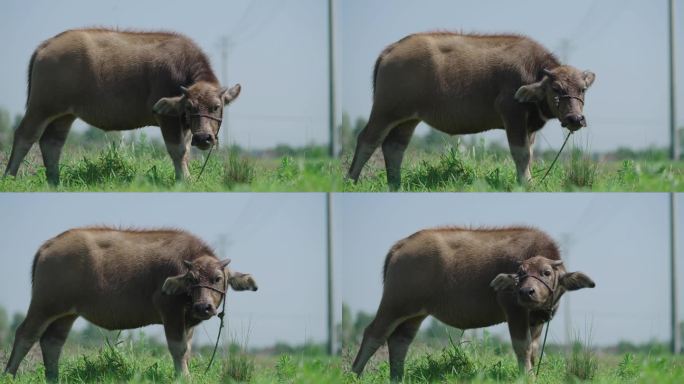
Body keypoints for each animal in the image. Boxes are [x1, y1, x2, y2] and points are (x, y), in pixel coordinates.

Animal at [2, 28, 242, 184]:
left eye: (216, 106)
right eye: (190, 107)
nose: (204, 139)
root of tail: (46, 46)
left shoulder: (184, 124)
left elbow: (186, 152)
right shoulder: (168, 119)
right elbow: (178, 150)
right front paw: (184, 180)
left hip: (63, 115)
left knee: (52, 143)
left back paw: (55, 181)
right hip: (41, 107)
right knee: (25, 135)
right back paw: (10, 177)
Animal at [2, 226, 258, 380]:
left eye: (217, 278)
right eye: (192, 279)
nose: (203, 307)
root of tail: (48, 245)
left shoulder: (187, 323)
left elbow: (187, 351)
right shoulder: (171, 314)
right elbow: (178, 349)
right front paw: (183, 378)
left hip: (66, 313)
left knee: (52, 342)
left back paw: (53, 378)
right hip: (44, 305)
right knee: (26, 335)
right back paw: (9, 375)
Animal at [348, 32, 592, 190]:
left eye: (582, 88)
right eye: (556, 88)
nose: (575, 119)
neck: (533, 72)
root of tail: (391, 50)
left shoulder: (528, 126)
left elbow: (529, 154)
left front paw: (527, 180)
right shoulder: (512, 115)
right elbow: (521, 153)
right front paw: (526, 183)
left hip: (407, 119)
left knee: (394, 147)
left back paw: (395, 184)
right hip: (384, 111)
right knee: (367, 140)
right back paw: (351, 180)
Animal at [350, 226, 596, 380]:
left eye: (546, 272)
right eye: (521, 273)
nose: (526, 292)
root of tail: (400, 246)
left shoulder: (536, 322)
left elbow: (533, 349)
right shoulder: (514, 312)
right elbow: (522, 346)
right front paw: (527, 376)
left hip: (414, 313)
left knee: (399, 340)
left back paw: (397, 377)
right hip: (394, 304)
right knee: (374, 334)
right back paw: (354, 374)